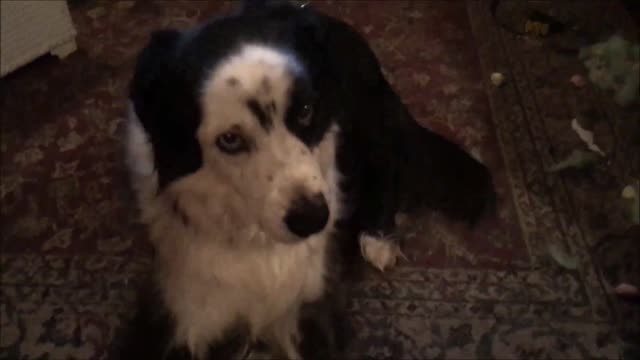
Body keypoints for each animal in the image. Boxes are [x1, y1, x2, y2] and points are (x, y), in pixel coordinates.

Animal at [114, 0, 496, 360]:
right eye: (230, 139)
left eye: (306, 112)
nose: (313, 219)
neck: (255, 244)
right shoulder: (179, 309)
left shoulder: (311, 307)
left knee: (387, 162)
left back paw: (378, 238)